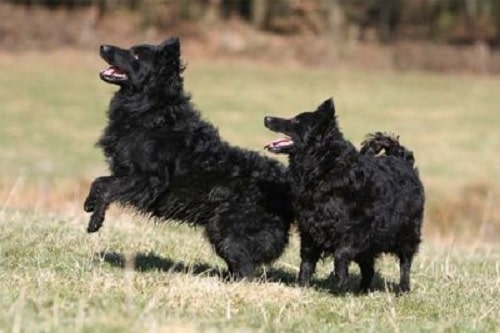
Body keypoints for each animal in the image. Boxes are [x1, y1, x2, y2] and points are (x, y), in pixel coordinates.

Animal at [81, 37, 292, 278]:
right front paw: (89, 203)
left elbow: (108, 188)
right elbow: (99, 181)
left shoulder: (147, 181)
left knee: (245, 268)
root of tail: (286, 181)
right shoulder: (126, 174)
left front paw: (95, 222)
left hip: (225, 227)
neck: (154, 113)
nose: (102, 46)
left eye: (135, 55)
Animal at [264, 98, 424, 294]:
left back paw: (403, 288)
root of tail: (402, 159)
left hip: (407, 234)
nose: (266, 118)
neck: (324, 167)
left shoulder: (355, 232)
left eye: (296, 121)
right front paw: (302, 286)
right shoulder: (308, 229)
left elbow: (340, 256)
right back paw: (362, 290)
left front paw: (339, 286)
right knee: (369, 269)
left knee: (405, 264)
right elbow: (306, 262)